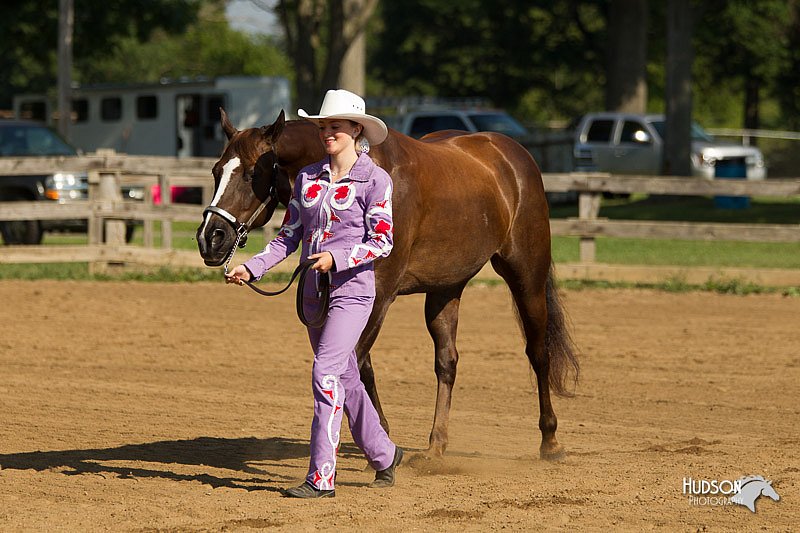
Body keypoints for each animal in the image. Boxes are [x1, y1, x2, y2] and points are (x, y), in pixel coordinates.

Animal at [197, 107, 580, 458]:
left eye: (252, 173)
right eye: (216, 171)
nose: (210, 238)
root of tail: (511, 154)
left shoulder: (379, 296)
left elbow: (352, 363)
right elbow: (362, 367)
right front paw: (378, 437)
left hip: (526, 275)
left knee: (538, 350)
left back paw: (550, 441)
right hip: (445, 288)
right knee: (447, 361)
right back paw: (436, 446)